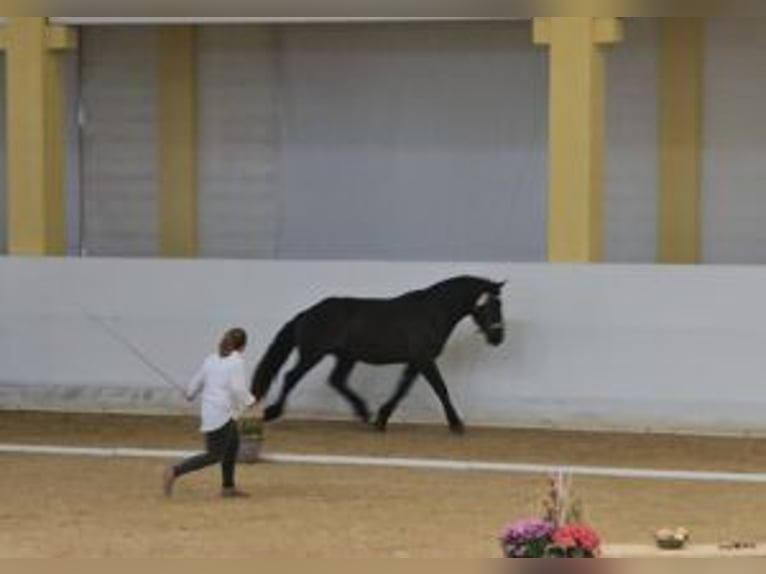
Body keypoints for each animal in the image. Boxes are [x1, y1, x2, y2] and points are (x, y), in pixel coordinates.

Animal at [250, 276, 504, 434]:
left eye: (499, 305)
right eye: (488, 305)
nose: (498, 338)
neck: (432, 312)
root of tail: (306, 313)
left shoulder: (416, 361)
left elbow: (402, 389)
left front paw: (381, 418)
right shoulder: (424, 359)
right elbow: (440, 388)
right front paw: (456, 424)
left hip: (345, 357)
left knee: (336, 380)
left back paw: (364, 413)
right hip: (313, 354)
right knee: (291, 377)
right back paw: (273, 412)